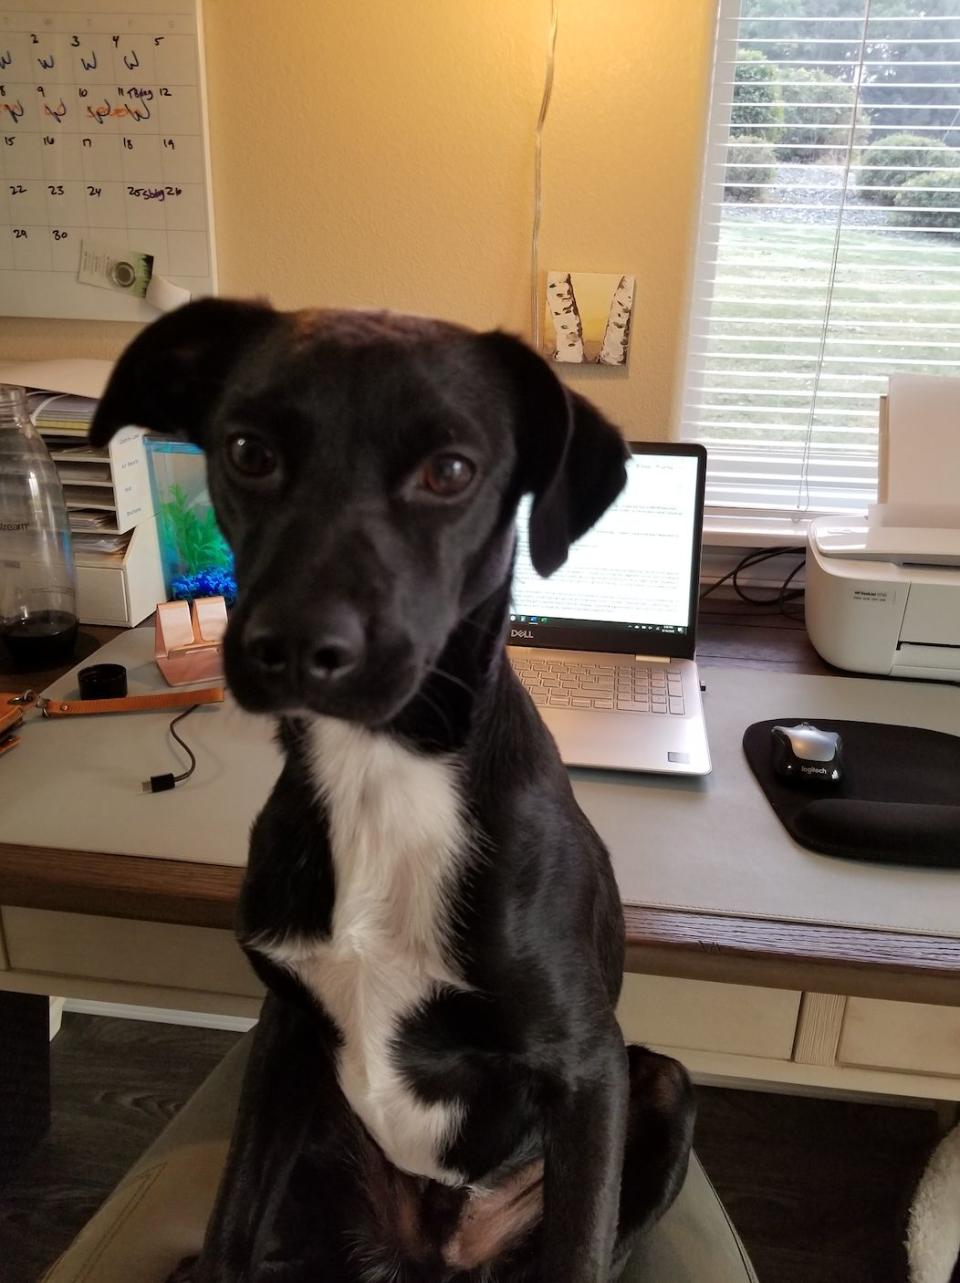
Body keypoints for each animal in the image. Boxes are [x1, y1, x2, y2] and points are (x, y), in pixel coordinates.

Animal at [89, 302, 693, 1283]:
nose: (297, 646)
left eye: (451, 470)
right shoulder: (283, 1030)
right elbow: (227, 1223)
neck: (382, 776)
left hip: (661, 1088)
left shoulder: (587, 1070)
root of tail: (436, 1254)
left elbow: (578, 1248)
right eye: (248, 450)